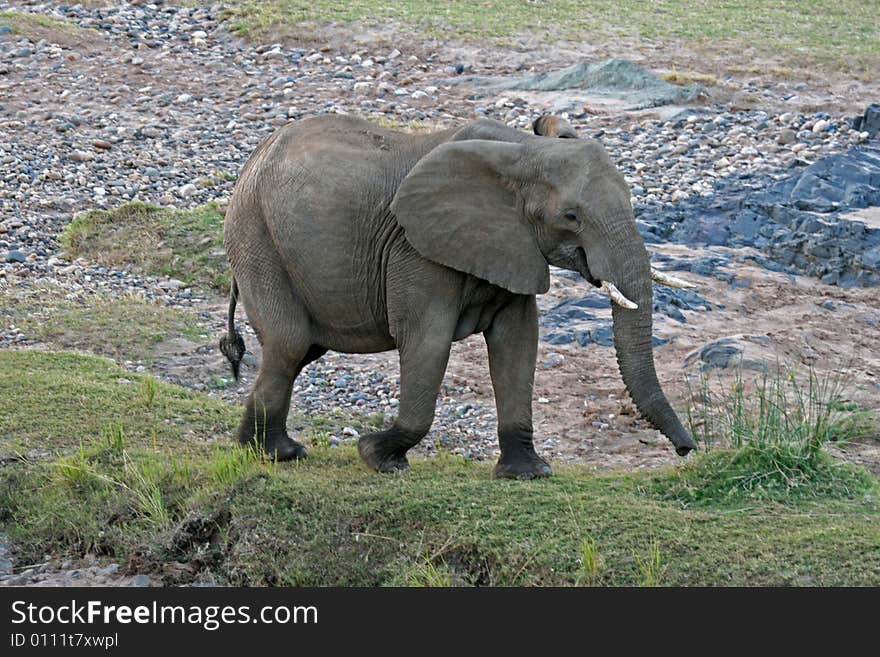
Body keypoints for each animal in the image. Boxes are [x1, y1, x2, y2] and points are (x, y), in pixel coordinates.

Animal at [218, 114, 696, 476]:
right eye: (571, 217)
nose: (687, 450)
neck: (525, 150)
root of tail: (255, 158)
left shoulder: (513, 245)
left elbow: (518, 343)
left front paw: (528, 474)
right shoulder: (416, 249)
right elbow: (427, 341)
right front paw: (377, 457)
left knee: (301, 350)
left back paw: (270, 451)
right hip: (255, 236)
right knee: (290, 343)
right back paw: (275, 455)